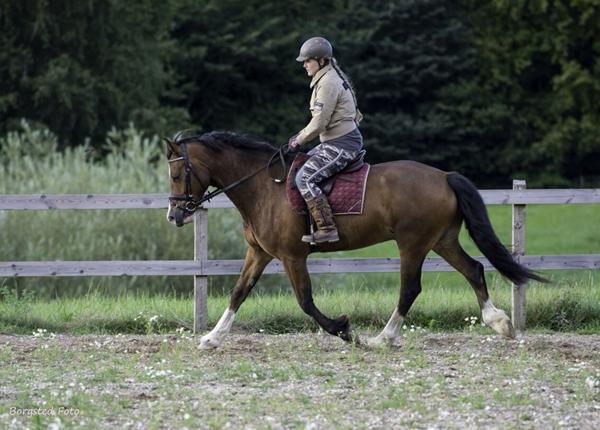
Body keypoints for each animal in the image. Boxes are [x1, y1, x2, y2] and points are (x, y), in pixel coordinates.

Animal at [163, 129, 544, 348]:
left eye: (178, 173)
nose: (174, 215)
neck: (263, 186)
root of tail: (444, 176)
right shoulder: (258, 253)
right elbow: (239, 292)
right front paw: (212, 338)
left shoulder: (291, 256)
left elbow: (305, 301)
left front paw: (344, 330)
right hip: (442, 240)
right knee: (473, 270)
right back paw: (500, 324)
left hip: (413, 244)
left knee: (410, 288)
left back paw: (382, 339)